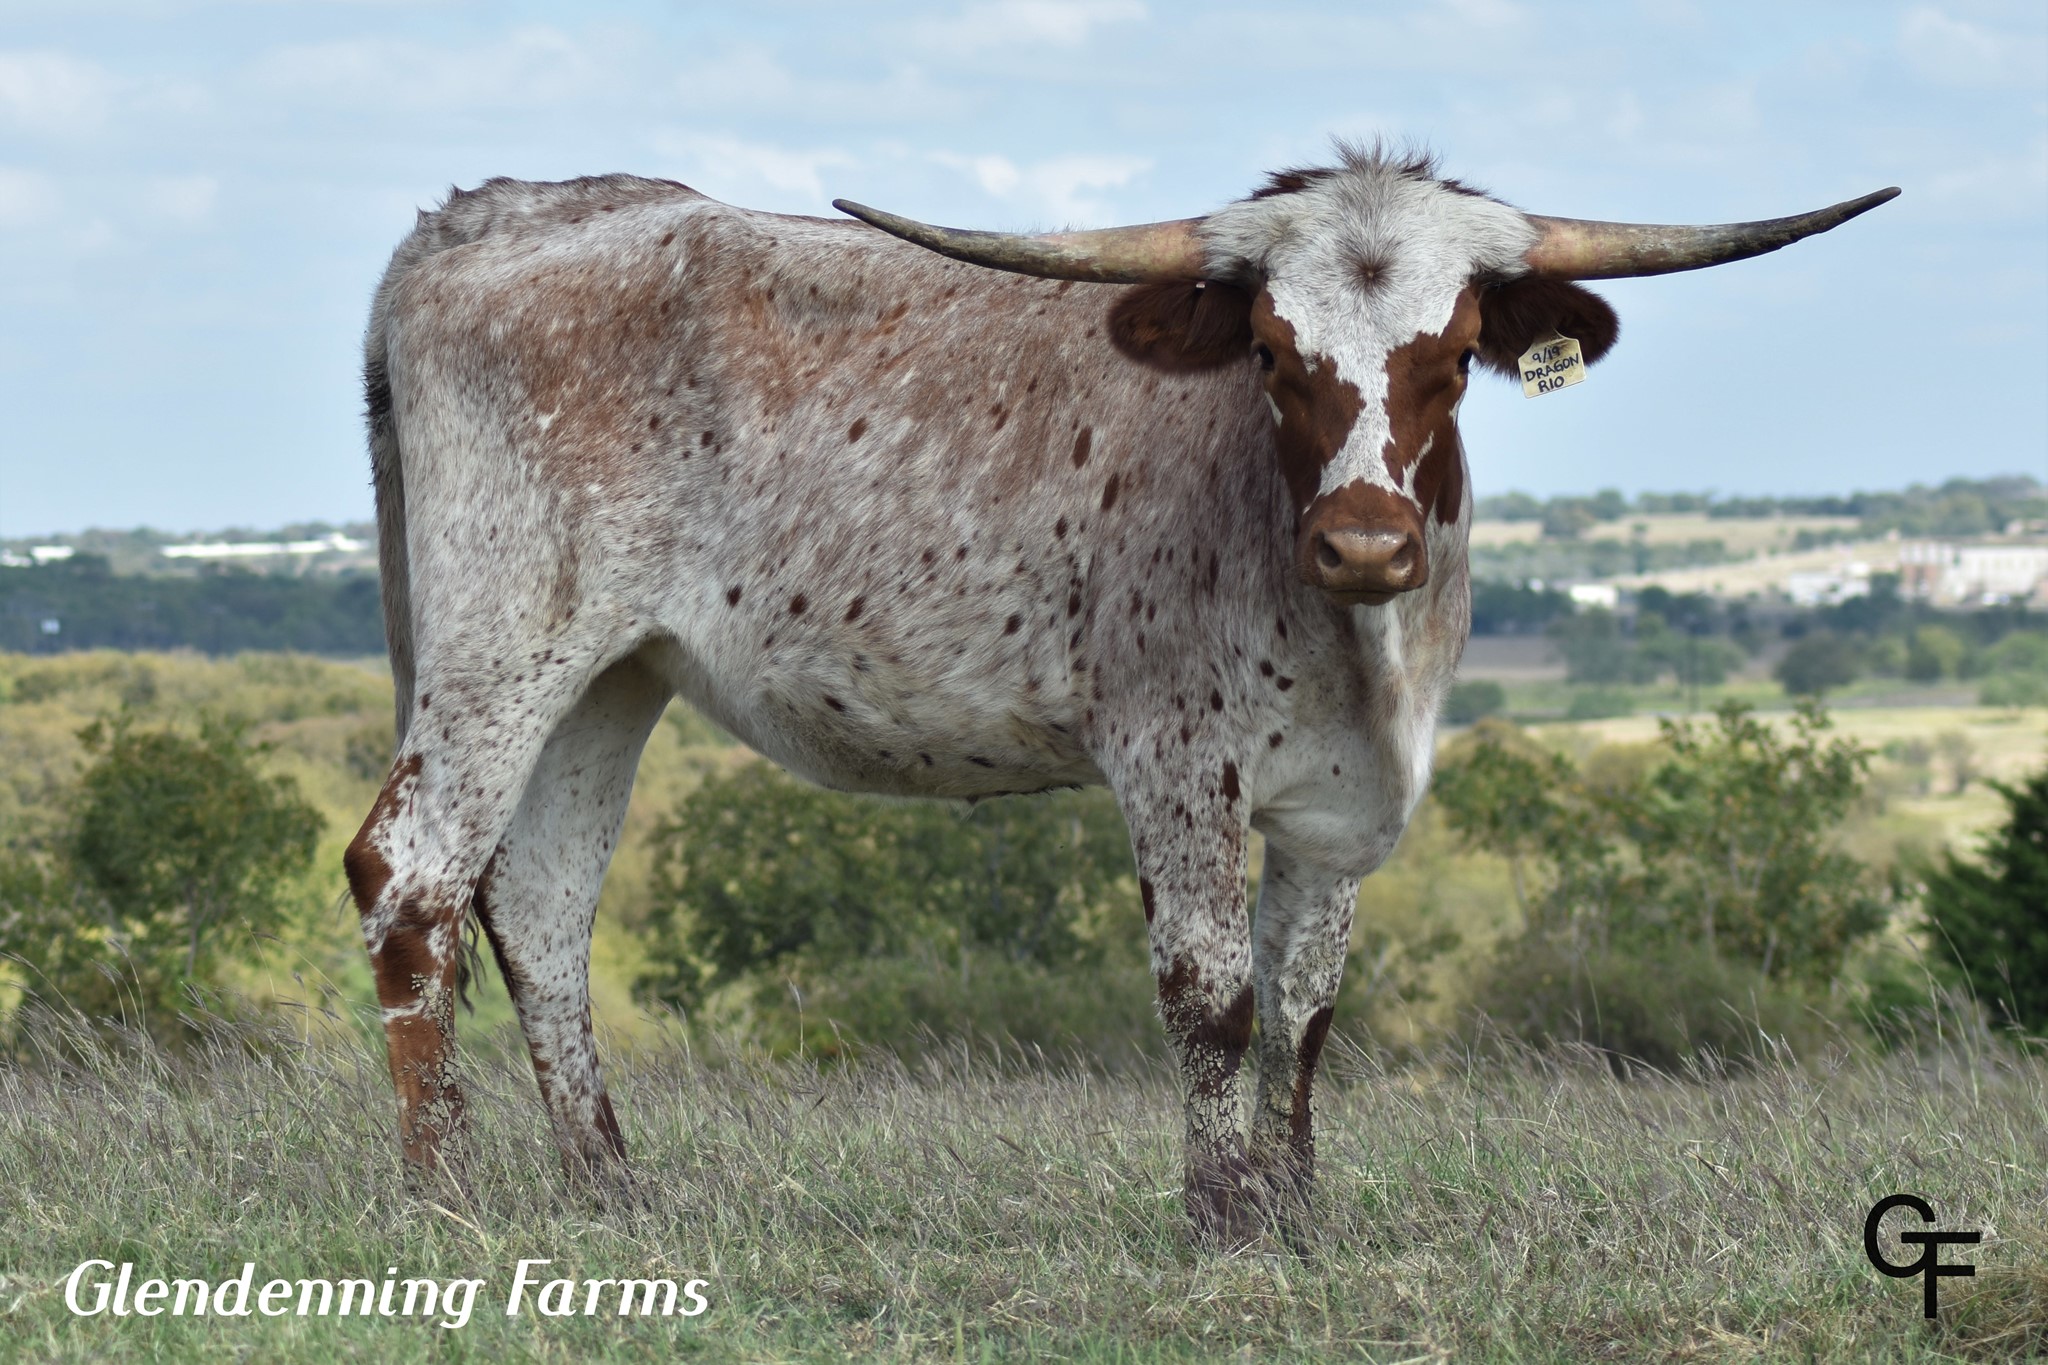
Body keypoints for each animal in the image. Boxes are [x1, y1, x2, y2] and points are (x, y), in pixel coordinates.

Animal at [345, 144, 1894, 1240]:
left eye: (1455, 355)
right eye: (1271, 350)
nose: (1366, 543)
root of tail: (491, 216)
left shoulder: (1339, 802)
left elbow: (1306, 999)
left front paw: (1298, 1208)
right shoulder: (1173, 759)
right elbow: (1210, 994)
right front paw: (1221, 1221)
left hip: (612, 672)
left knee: (538, 902)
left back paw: (610, 1191)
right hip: (506, 636)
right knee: (409, 877)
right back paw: (446, 1199)